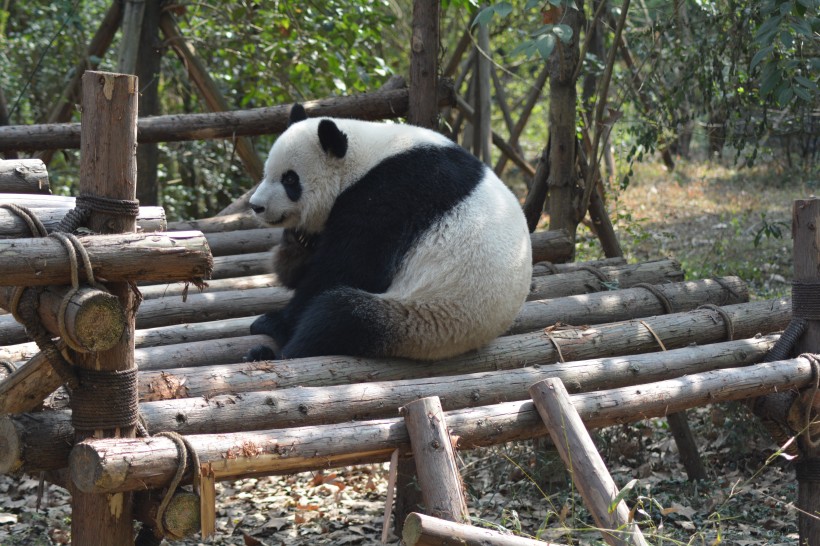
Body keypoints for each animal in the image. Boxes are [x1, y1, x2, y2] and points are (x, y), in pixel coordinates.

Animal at [247, 104, 536, 362]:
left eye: (290, 179)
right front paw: (298, 243)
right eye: (266, 172)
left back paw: (271, 351)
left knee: (337, 318)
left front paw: (275, 321)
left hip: (426, 317)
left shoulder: (394, 193)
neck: (364, 158)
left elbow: (349, 267)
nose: (256, 205)